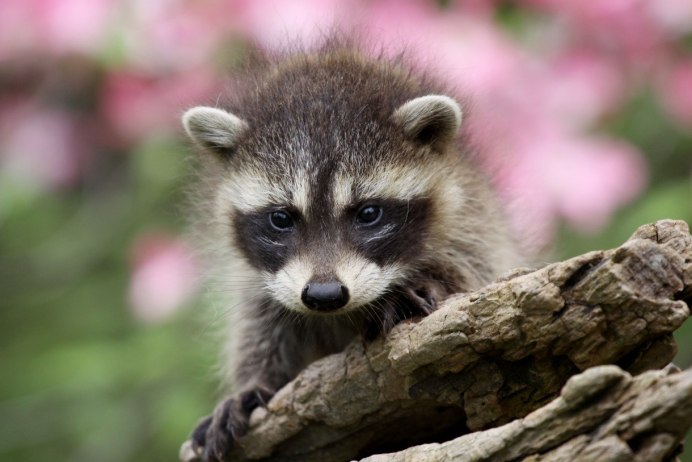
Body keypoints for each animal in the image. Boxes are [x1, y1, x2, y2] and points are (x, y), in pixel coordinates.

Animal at [182, 44, 520, 461]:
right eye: (281, 218)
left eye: (368, 214)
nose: (324, 295)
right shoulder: (260, 277)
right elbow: (260, 322)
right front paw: (254, 381)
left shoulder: (473, 216)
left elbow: (476, 268)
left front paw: (430, 281)